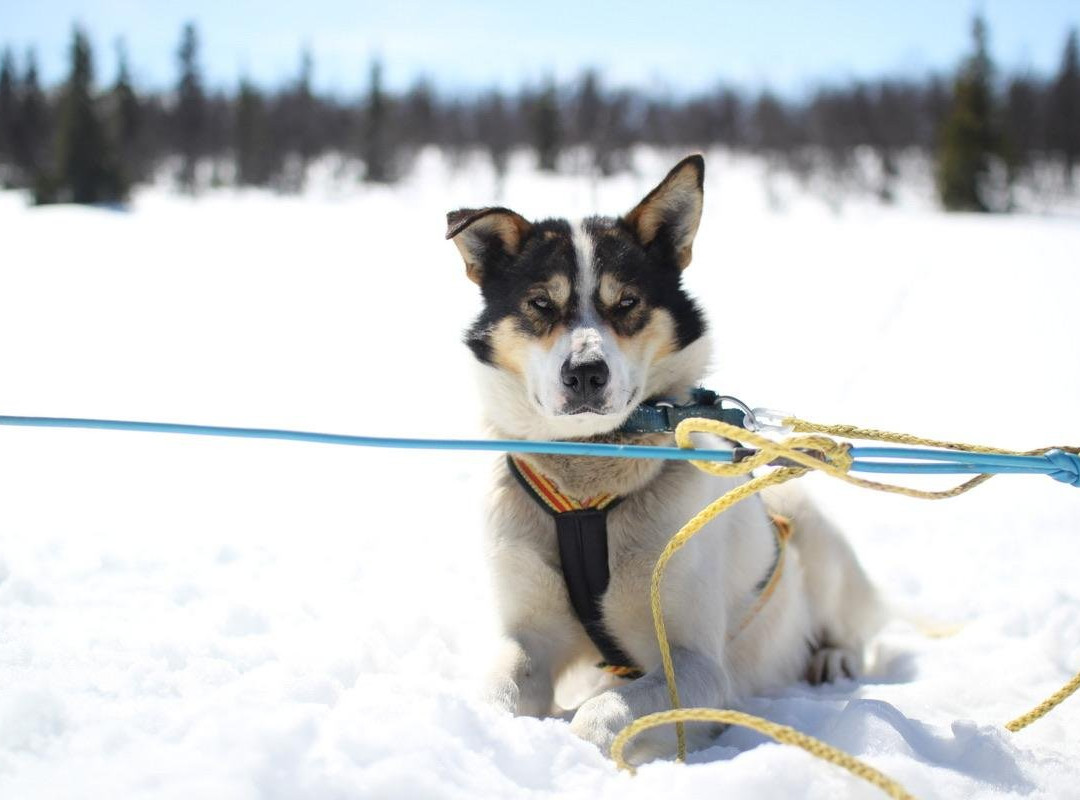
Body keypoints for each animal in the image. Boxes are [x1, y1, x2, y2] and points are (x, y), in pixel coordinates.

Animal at [442, 156, 881, 760]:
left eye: (626, 302)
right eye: (541, 303)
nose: (585, 373)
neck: (586, 486)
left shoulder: (696, 665)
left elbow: (601, 715)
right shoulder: (526, 634)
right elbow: (497, 693)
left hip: (814, 534)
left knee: (855, 627)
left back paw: (831, 657)